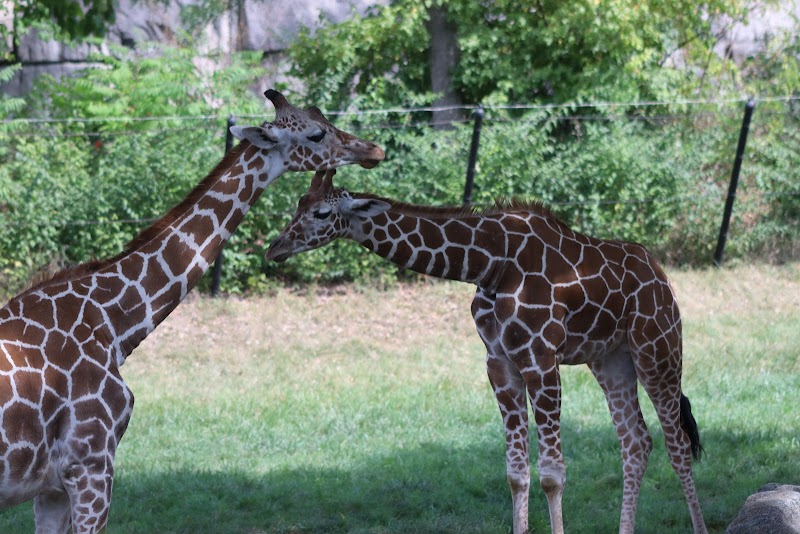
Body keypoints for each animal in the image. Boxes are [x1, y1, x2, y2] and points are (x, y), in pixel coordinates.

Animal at [266, 170, 707, 534]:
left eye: (322, 212)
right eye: (298, 204)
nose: (275, 248)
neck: (490, 263)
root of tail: (662, 277)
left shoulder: (540, 359)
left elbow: (552, 473)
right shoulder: (500, 364)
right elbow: (516, 472)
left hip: (658, 349)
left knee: (677, 445)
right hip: (611, 361)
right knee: (636, 442)